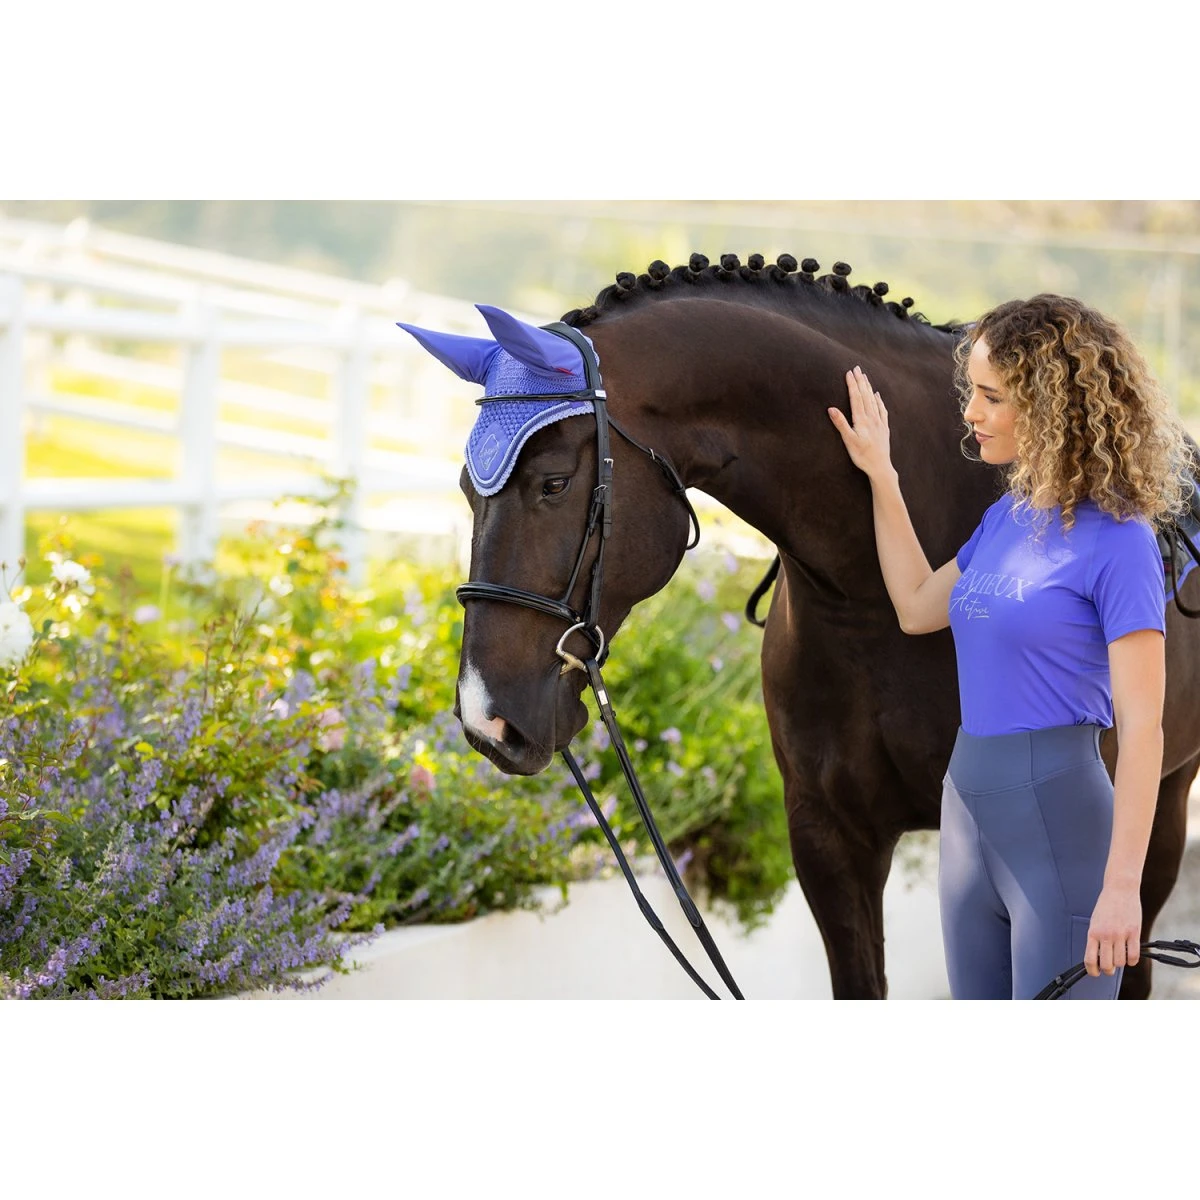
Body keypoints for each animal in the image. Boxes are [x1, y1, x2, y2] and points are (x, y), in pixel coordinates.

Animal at [404, 252, 1200, 999]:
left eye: (554, 484)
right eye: (466, 489)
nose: (486, 719)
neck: (870, 597)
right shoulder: (827, 837)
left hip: (1162, 801)